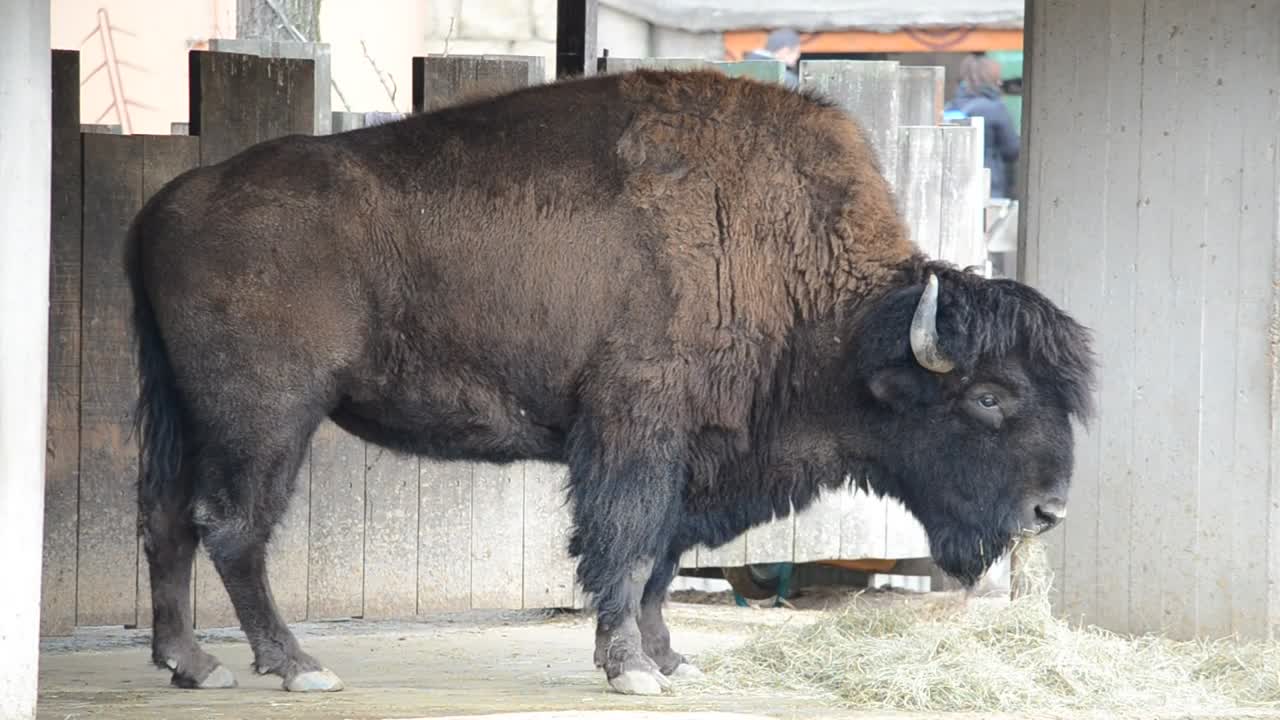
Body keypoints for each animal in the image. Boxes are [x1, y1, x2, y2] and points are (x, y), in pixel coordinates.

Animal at [126, 68, 1096, 696]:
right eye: (989, 396)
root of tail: (169, 201)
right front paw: (630, 669)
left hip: (181, 411)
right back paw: (296, 667)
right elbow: (627, 547)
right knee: (233, 528)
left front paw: (671, 660)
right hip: (268, 418)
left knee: (166, 521)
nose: (1050, 511)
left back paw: (193, 665)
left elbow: (662, 557)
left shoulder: (693, 454)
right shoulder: (637, 429)